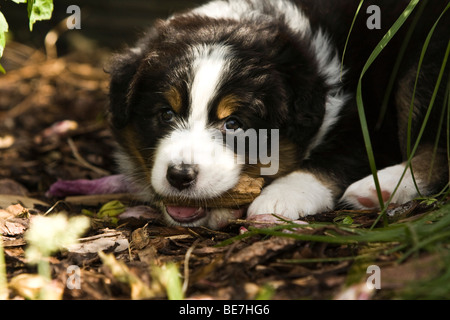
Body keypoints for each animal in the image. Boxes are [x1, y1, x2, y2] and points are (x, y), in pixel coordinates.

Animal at [107, 0, 448, 230]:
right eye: (166, 114)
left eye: (234, 124)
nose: (180, 175)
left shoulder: (369, 119)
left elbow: (340, 156)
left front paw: (281, 197)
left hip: (424, 68)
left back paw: (381, 188)